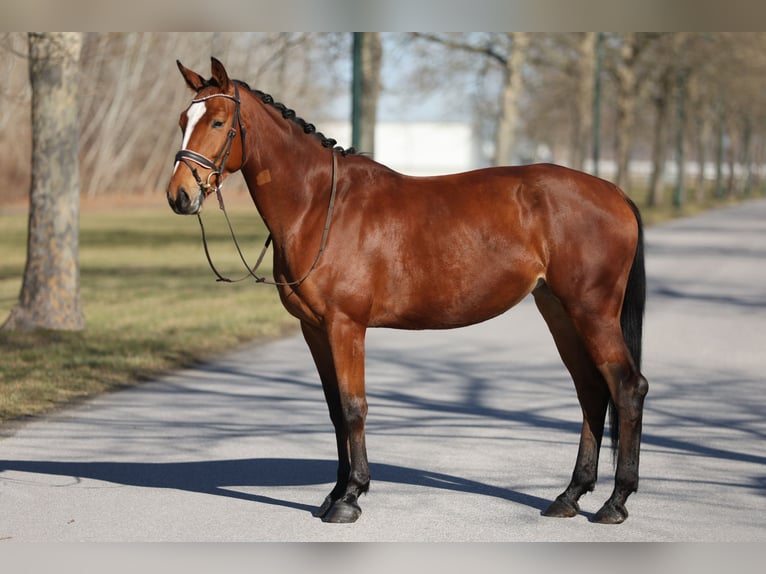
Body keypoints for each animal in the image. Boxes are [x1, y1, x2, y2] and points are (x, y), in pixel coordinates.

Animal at [166, 58, 648, 528]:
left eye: (218, 121)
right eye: (183, 120)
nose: (179, 196)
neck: (320, 205)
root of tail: (614, 192)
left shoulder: (345, 326)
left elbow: (353, 406)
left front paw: (350, 498)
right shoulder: (314, 329)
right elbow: (334, 410)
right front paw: (334, 494)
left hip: (592, 311)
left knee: (626, 387)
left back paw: (615, 502)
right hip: (559, 310)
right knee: (591, 390)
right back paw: (569, 496)